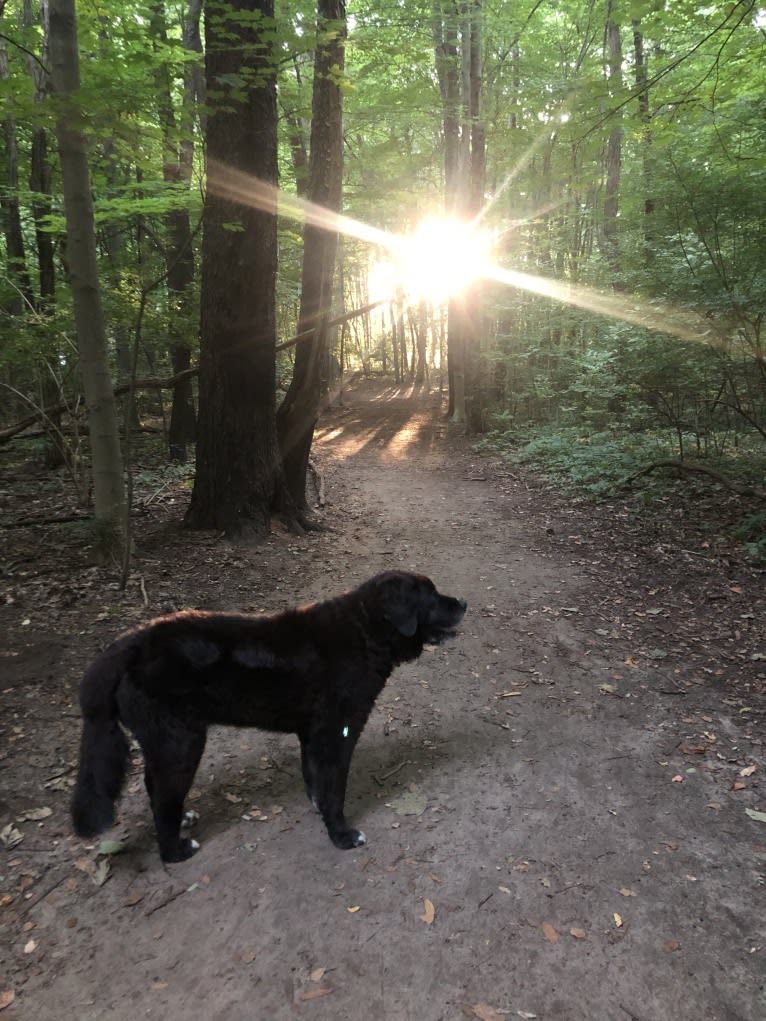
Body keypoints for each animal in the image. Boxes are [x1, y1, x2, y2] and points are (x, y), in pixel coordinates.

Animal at [73, 571, 467, 865]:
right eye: (431, 596)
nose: (463, 602)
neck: (365, 630)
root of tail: (127, 644)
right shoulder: (335, 734)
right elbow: (335, 790)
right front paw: (341, 835)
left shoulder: (312, 734)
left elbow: (315, 781)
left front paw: (318, 808)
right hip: (180, 742)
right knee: (162, 798)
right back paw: (177, 850)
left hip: (165, 743)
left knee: (154, 786)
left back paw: (184, 819)